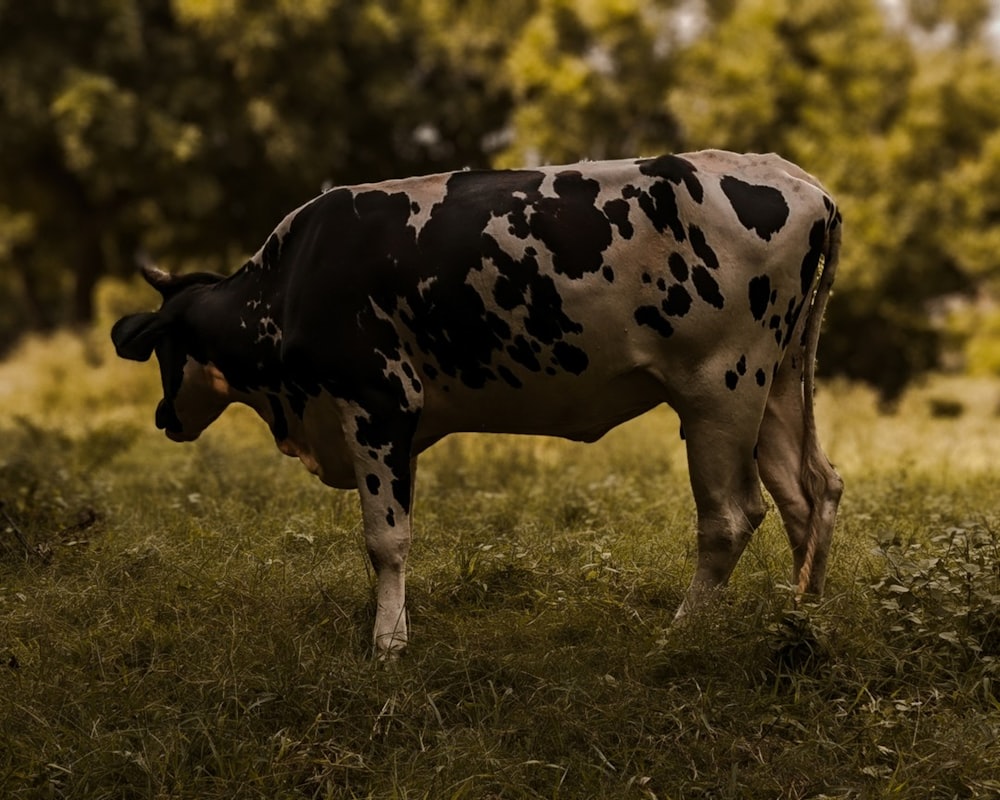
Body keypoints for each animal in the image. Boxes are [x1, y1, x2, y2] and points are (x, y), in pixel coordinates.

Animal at [111, 148, 844, 656]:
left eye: (163, 348)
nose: (163, 417)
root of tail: (802, 182)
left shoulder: (378, 400)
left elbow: (386, 538)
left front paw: (388, 643)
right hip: (779, 380)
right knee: (810, 491)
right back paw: (800, 621)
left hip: (720, 386)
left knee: (732, 515)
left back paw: (682, 634)